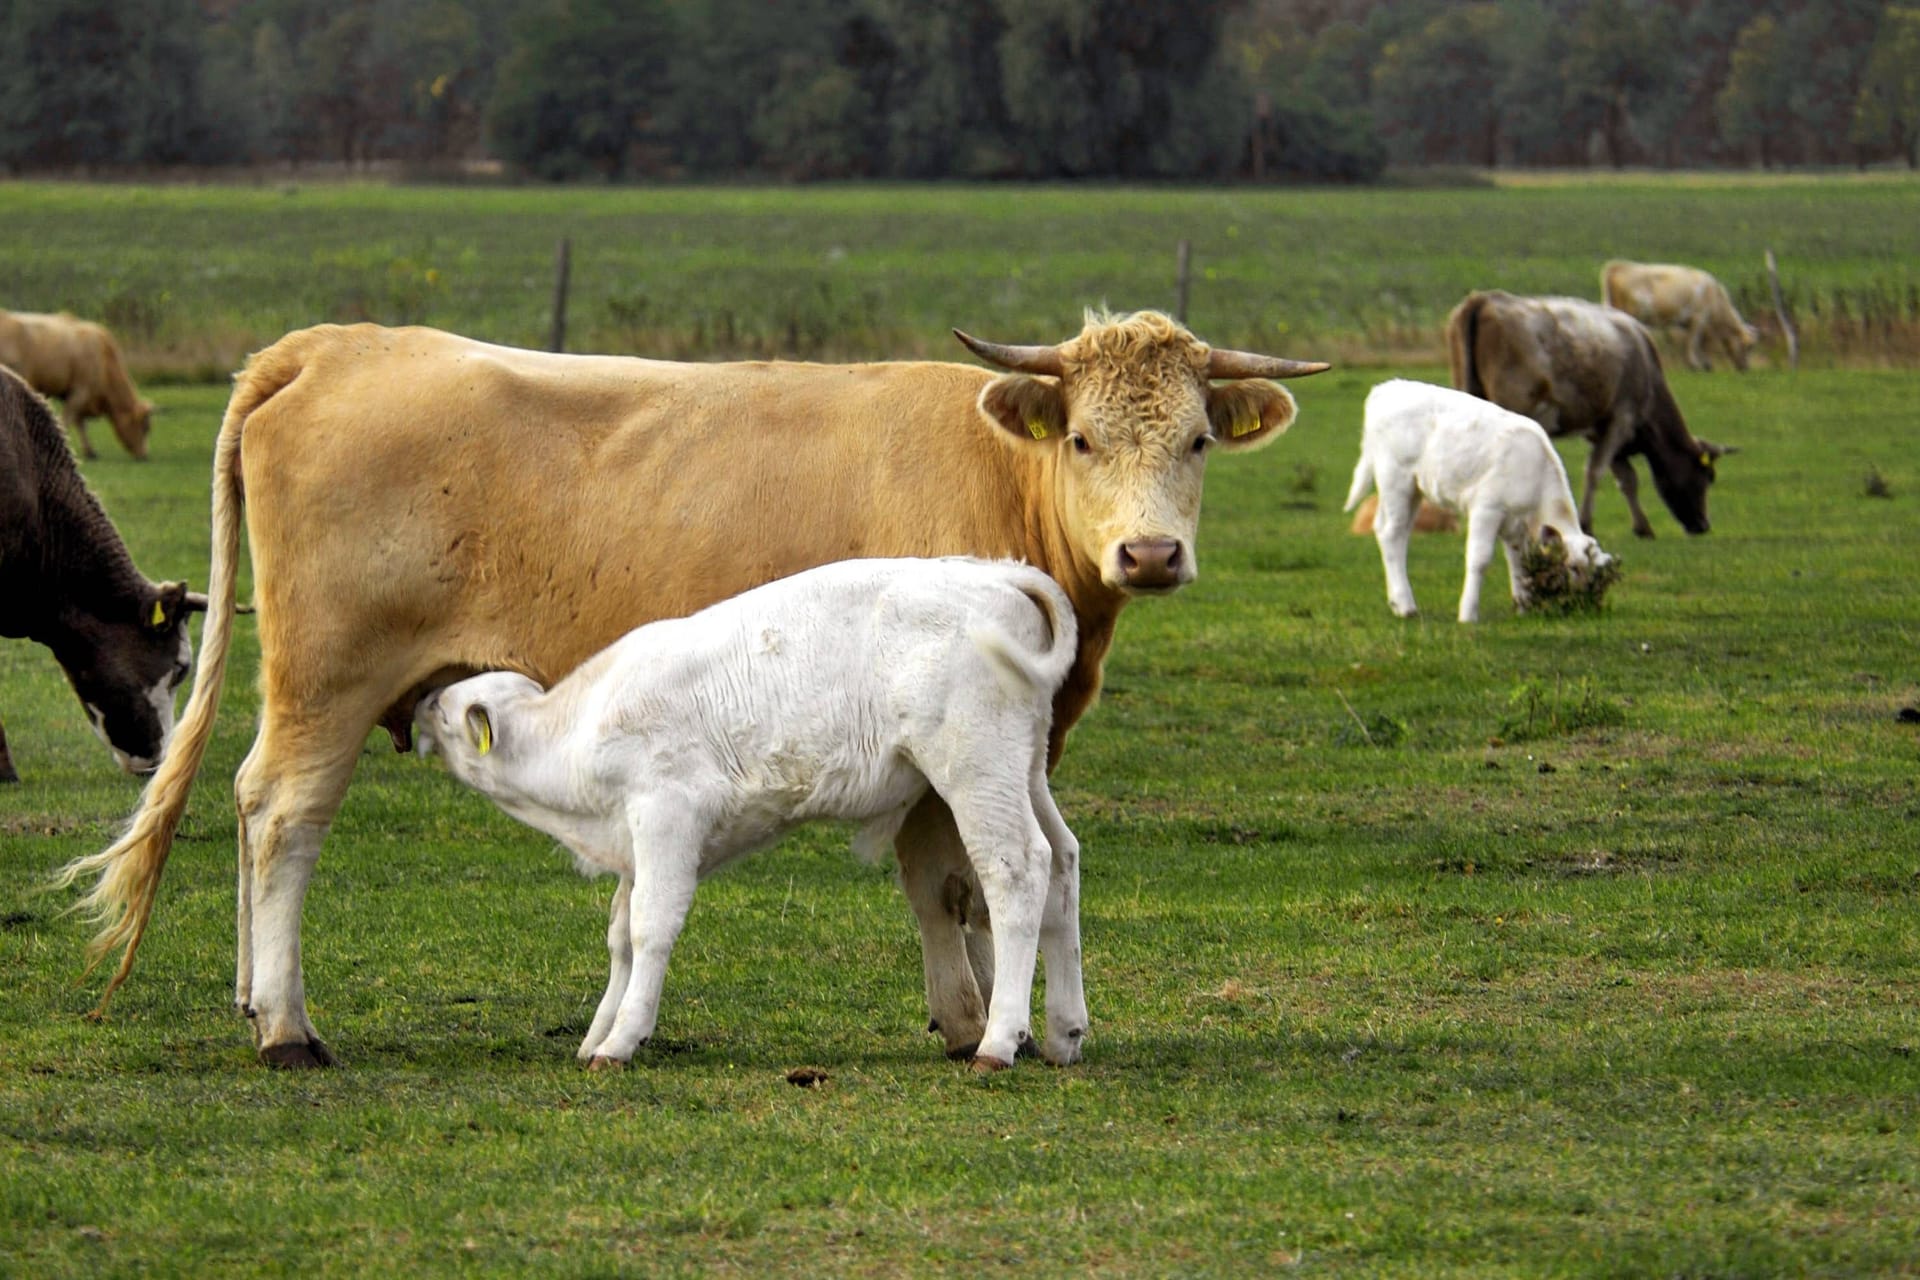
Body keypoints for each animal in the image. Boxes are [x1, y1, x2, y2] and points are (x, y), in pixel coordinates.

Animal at [0, 308, 153, 460]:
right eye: (146, 427)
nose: (144, 455)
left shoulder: (76, 395)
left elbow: (80, 423)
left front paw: (89, 451)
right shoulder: (81, 391)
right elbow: (68, 420)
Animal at [412, 556, 1090, 1074]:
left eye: (446, 708)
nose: (418, 703)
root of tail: (996, 573)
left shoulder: (666, 815)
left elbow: (649, 928)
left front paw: (622, 1040)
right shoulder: (633, 842)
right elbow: (619, 934)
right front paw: (597, 1033)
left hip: (976, 767)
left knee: (1017, 868)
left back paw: (1000, 1041)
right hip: (1024, 768)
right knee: (1062, 862)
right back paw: (1064, 1033)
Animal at [1351, 378, 1620, 621]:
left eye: (1594, 573)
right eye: (1573, 566)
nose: (1581, 604)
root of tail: (1386, 388)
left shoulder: (1515, 526)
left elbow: (1519, 563)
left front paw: (1523, 607)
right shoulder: (1487, 508)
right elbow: (1479, 559)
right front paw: (1468, 614)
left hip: (1414, 491)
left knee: (1393, 532)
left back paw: (1397, 603)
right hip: (1395, 480)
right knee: (1391, 534)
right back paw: (1406, 606)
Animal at [1443, 291, 1735, 541]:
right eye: (1708, 475)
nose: (1703, 525)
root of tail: (1486, 298)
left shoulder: (1602, 429)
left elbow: (1626, 478)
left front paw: (1641, 527)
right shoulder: (1621, 418)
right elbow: (1598, 472)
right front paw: (1586, 524)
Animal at [1597, 260, 1758, 372]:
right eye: (1749, 346)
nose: (1746, 368)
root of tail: (1618, 266)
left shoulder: (1690, 323)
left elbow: (1699, 343)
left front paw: (1706, 364)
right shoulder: (1699, 318)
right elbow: (1693, 342)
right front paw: (1695, 365)